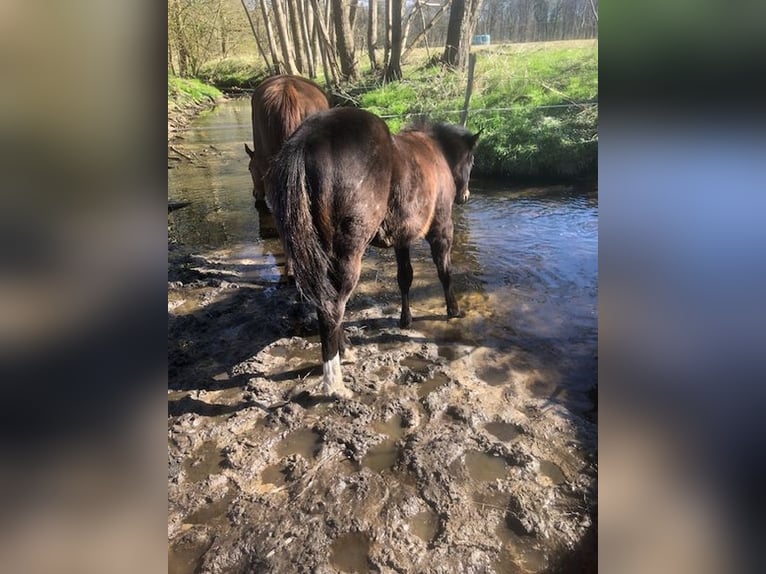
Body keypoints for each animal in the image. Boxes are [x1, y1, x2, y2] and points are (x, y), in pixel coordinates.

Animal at [270, 107, 479, 398]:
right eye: (471, 160)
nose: (464, 196)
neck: (435, 152)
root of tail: (307, 140)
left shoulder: (402, 238)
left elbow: (405, 277)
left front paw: (405, 319)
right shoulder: (441, 229)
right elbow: (444, 271)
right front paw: (453, 310)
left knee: (325, 302)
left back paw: (344, 350)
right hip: (346, 255)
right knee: (332, 308)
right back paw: (334, 382)